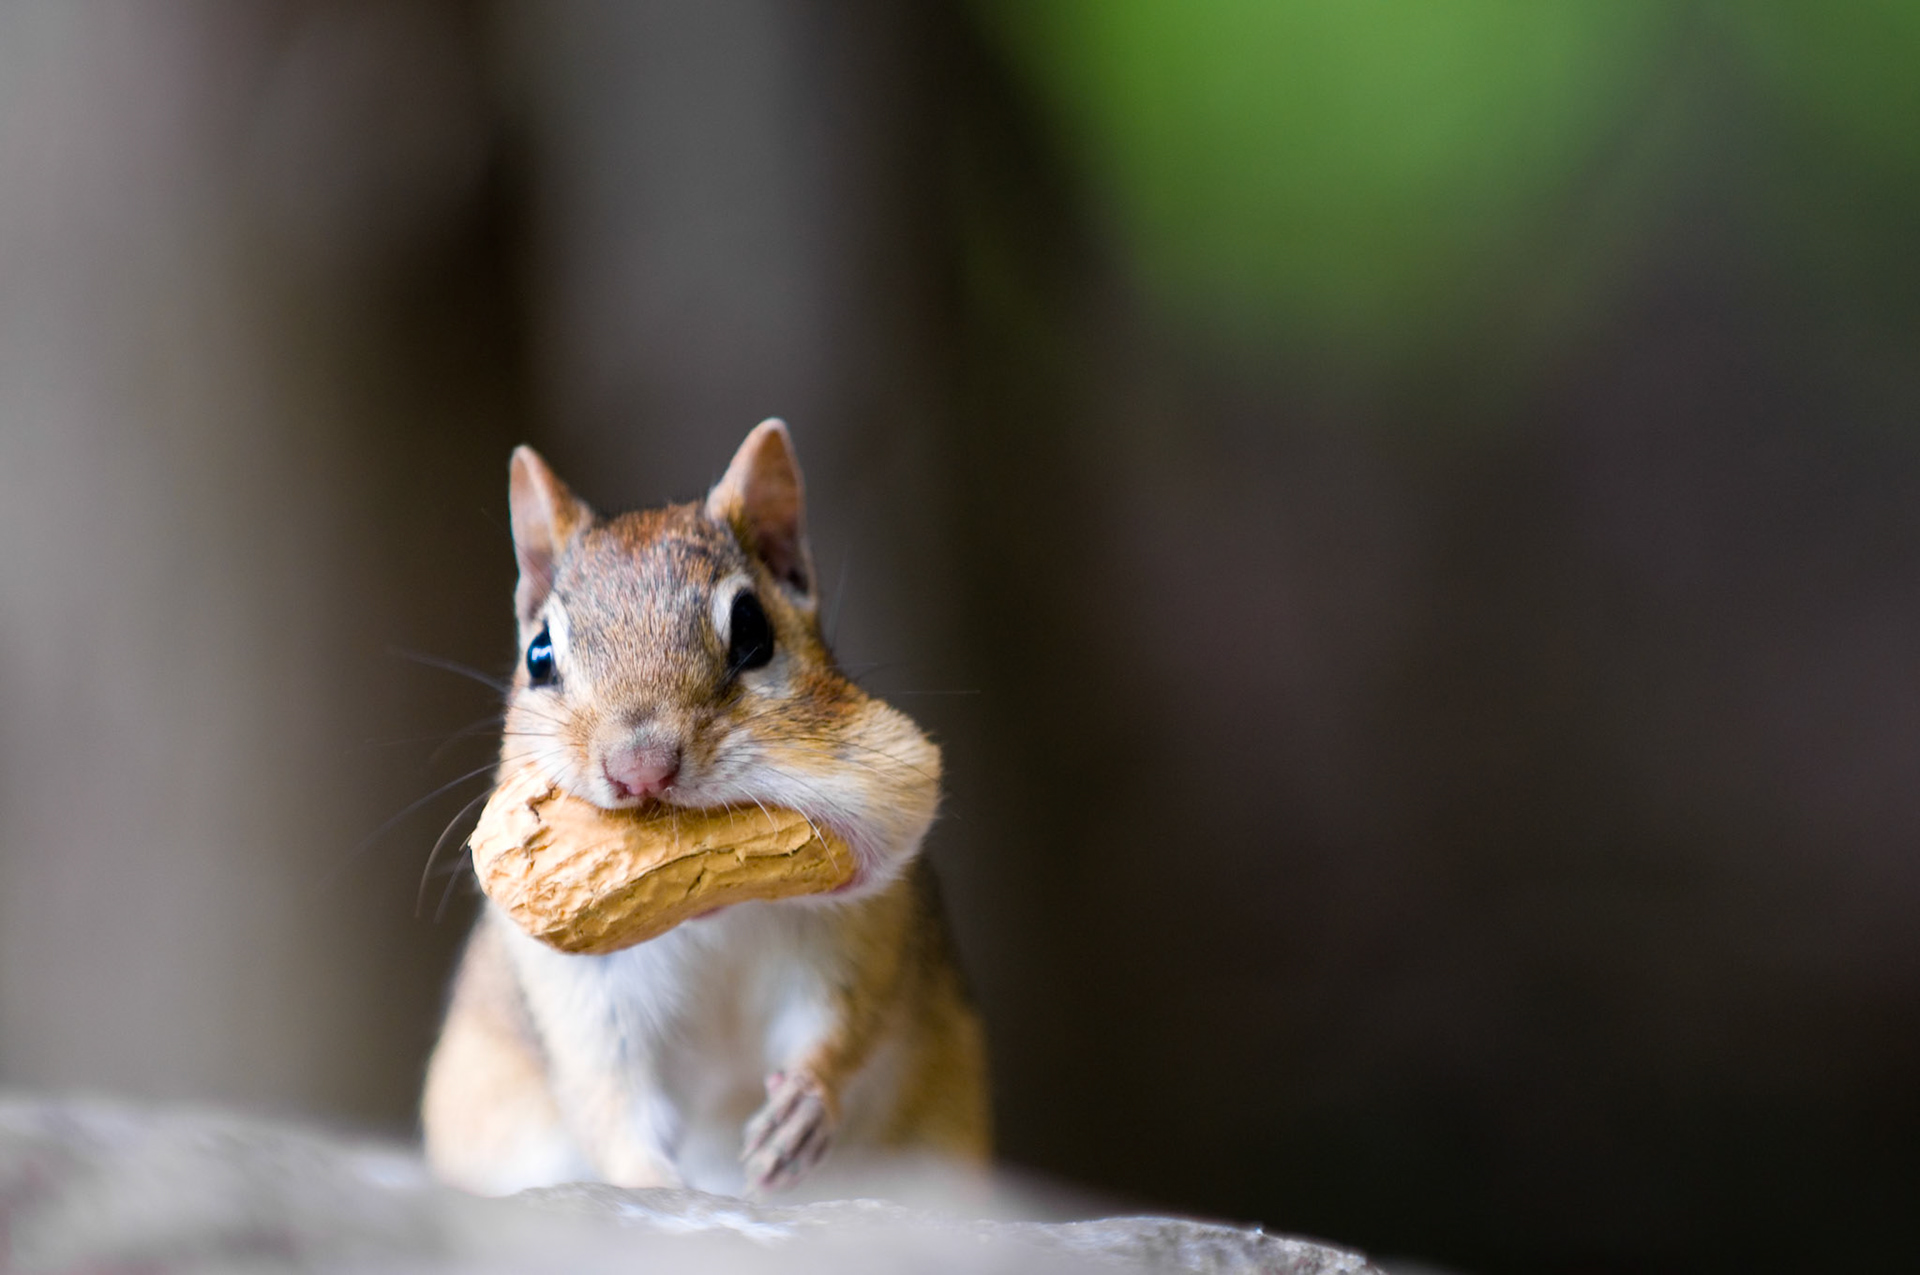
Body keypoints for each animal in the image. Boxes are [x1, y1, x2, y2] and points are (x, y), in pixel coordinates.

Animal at [420, 420, 990, 1198]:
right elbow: (609, 1101)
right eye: (539, 654)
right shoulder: (581, 994)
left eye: (752, 631)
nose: (640, 767)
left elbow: (844, 1025)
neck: (713, 919)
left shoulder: (863, 930)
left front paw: (804, 1105)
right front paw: (651, 1184)